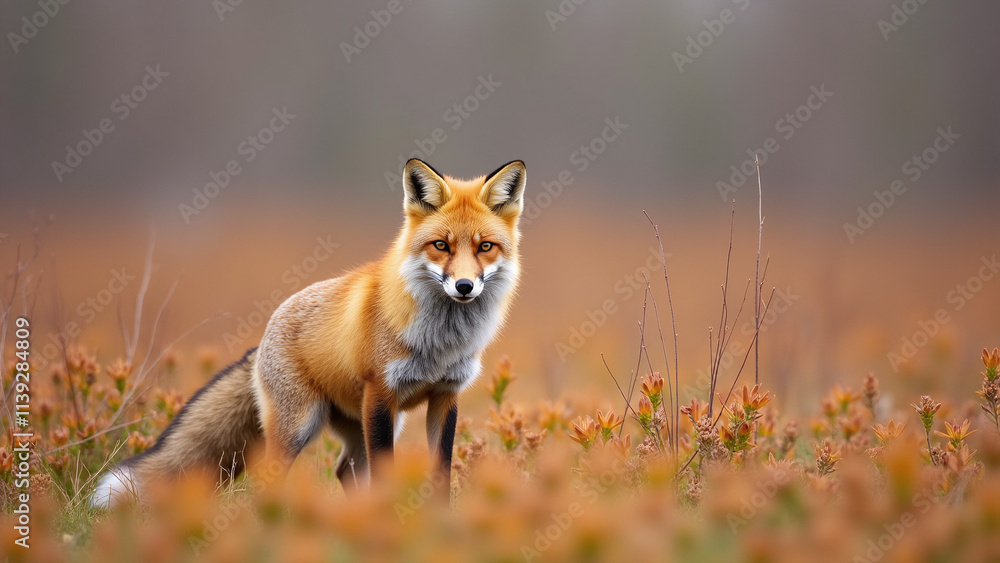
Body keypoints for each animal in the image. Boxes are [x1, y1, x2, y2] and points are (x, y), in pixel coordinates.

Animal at [91, 158, 527, 508]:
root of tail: (262, 340)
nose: (465, 287)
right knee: (270, 478)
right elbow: (386, 474)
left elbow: (441, 475)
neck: (442, 342)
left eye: (485, 247)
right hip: (302, 425)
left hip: (359, 423)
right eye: (441, 245)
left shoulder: (445, 395)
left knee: (344, 471)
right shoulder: (381, 394)